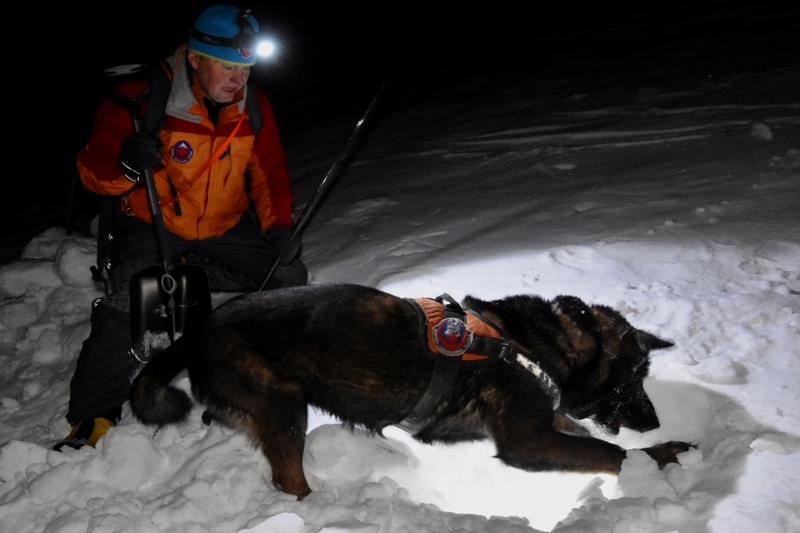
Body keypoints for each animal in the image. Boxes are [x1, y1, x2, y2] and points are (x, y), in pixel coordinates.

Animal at [130, 282, 688, 498]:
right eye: (634, 378)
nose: (655, 419)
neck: (533, 343)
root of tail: (195, 332)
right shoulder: (527, 442)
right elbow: (606, 451)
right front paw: (661, 455)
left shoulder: (543, 422)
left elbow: (584, 434)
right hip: (284, 404)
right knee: (290, 480)